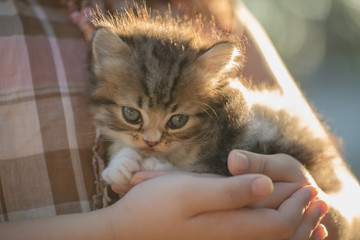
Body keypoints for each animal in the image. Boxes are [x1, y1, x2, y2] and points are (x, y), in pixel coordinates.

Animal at [87, 7, 340, 193]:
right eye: (131, 114)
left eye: (178, 120)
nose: (151, 143)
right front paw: (120, 162)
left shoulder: (244, 138)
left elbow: (204, 169)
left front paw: (155, 165)